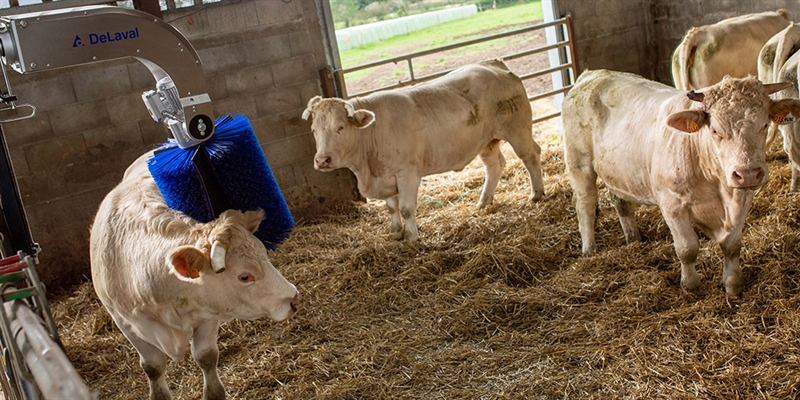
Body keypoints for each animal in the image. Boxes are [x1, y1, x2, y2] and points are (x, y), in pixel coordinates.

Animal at [88, 151, 300, 400]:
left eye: (264, 254)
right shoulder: (125, 322)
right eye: (244, 277)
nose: (294, 299)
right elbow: (152, 367)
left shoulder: (207, 313)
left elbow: (206, 356)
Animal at [304, 59, 548, 241]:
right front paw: (395, 233)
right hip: (486, 141)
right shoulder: (386, 177)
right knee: (495, 166)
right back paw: (483, 201)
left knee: (530, 155)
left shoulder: (408, 173)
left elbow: (406, 208)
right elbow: (391, 207)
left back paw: (536, 194)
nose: (322, 160)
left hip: (518, 130)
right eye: (314, 129)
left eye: (340, 127)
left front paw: (412, 238)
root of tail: (492, 64)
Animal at [564, 69, 800, 296]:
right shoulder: (672, 204)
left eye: (765, 124)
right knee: (585, 204)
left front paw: (733, 285)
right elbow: (687, 249)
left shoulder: (743, 197)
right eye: (714, 130)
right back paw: (589, 250)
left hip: (618, 171)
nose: (748, 173)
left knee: (620, 201)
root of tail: (592, 75)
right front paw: (690, 285)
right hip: (580, 165)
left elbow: (732, 246)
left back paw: (634, 239)